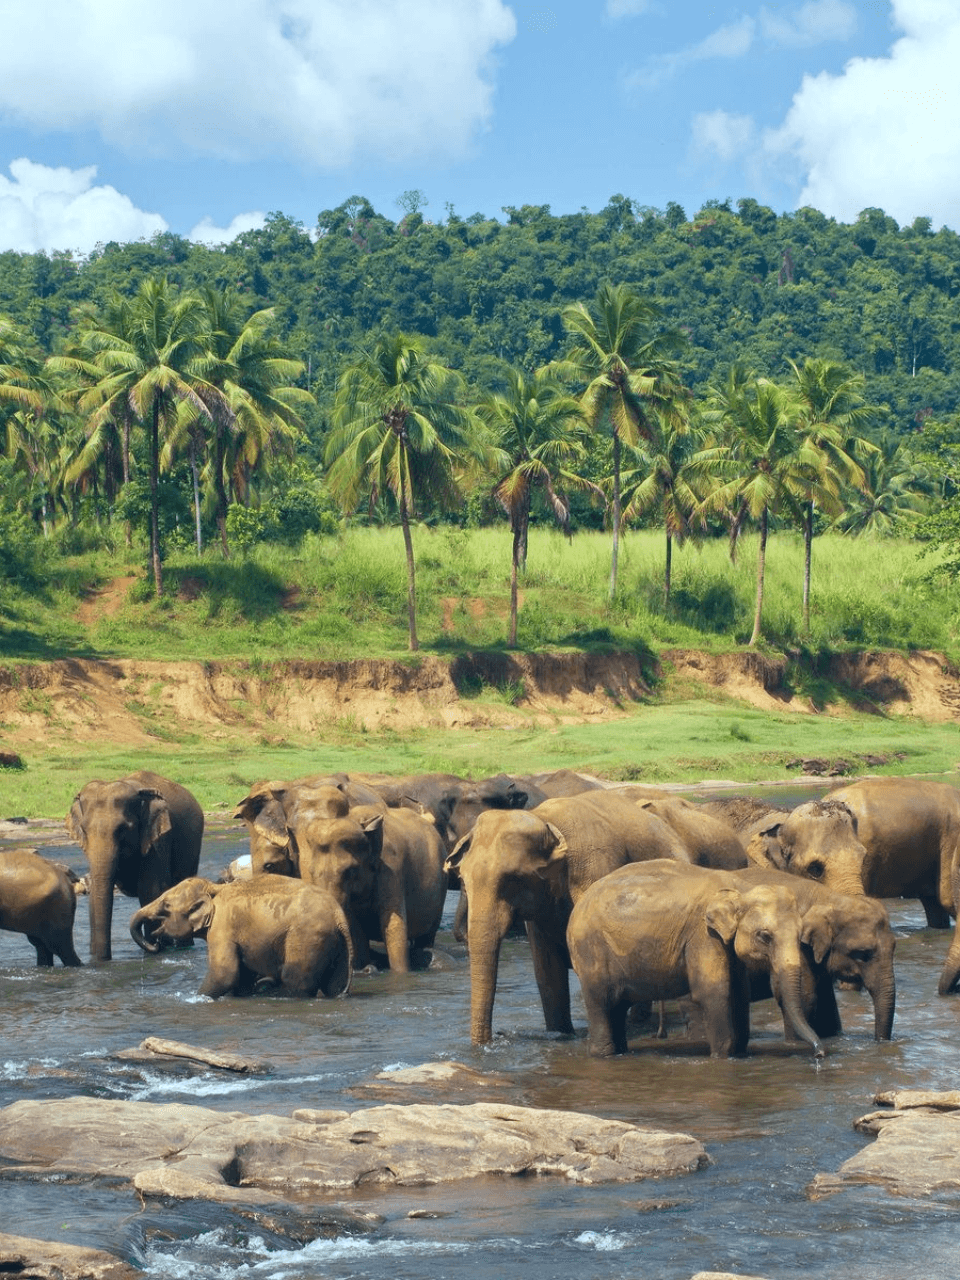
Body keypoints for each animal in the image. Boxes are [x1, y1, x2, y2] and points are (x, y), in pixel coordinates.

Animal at [130, 875, 353, 998]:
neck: (214, 888)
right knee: (334, 985)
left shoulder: (222, 927)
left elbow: (225, 974)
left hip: (307, 936)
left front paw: (196, 998)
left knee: (295, 980)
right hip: (335, 942)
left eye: (166, 906)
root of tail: (339, 915)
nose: (156, 945)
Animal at [289, 803, 447, 972]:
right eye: (311, 872)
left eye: (350, 871)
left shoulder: (391, 870)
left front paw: (401, 973)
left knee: (428, 935)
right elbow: (355, 927)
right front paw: (365, 966)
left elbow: (394, 925)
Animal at [444, 790, 692, 1045]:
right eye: (463, 880)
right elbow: (547, 970)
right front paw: (560, 1034)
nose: (494, 1039)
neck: (544, 820)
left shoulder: (595, 870)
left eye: (512, 880)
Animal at [566, 860, 825, 1059]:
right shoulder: (703, 934)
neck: (739, 888)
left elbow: (740, 991)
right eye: (764, 936)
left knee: (617, 1006)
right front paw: (723, 1056)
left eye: (800, 934)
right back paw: (604, 1055)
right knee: (601, 1001)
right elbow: (714, 991)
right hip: (590, 951)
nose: (819, 1054)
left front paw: (740, 1053)